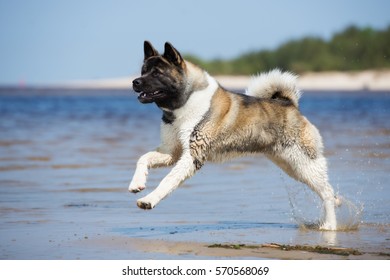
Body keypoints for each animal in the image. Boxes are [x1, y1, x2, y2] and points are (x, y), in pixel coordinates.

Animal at [129, 40, 340, 231]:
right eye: (143, 70)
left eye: (157, 73)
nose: (134, 82)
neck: (186, 101)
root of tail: (290, 104)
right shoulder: (171, 151)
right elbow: (143, 158)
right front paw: (137, 183)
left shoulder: (193, 155)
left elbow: (168, 179)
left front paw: (148, 200)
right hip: (292, 166)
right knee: (325, 189)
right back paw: (336, 205)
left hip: (304, 162)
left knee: (326, 192)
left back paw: (329, 225)